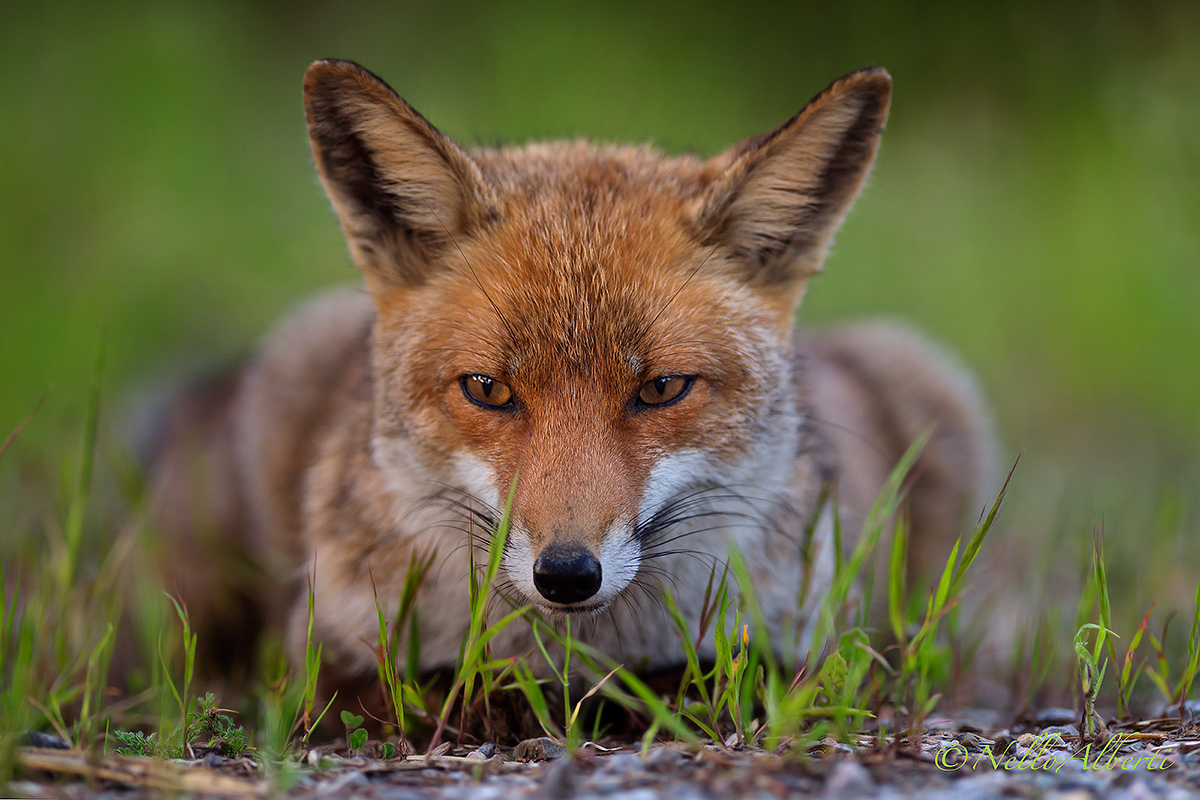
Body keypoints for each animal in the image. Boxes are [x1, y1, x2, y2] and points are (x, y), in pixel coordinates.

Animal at [142, 59, 991, 696]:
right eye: (487, 389)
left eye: (661, 389)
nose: (567, 574)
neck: (579, 651)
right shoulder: (320, 649)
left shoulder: (812, 645)